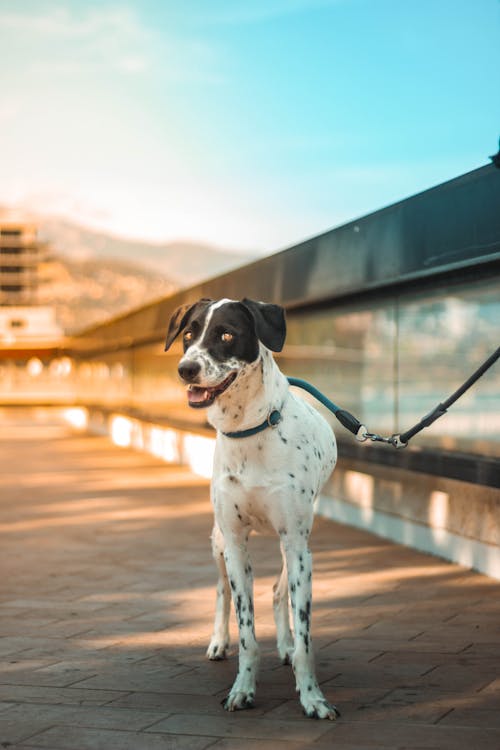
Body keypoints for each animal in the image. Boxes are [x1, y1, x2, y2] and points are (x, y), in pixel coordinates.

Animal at [164, 296, 340, 720]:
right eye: (189, 334)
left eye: (227, 334)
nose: (185, 369)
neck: (250, 430)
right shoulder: (235, 542)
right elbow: (246, 630)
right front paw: (242, 689)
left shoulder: (297, 543)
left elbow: (304, 633)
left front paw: (312, 697)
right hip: (218, 542)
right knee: (220, 590)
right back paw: (217, 641)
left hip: (296, 543)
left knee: (278, 591)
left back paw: (286, 645)